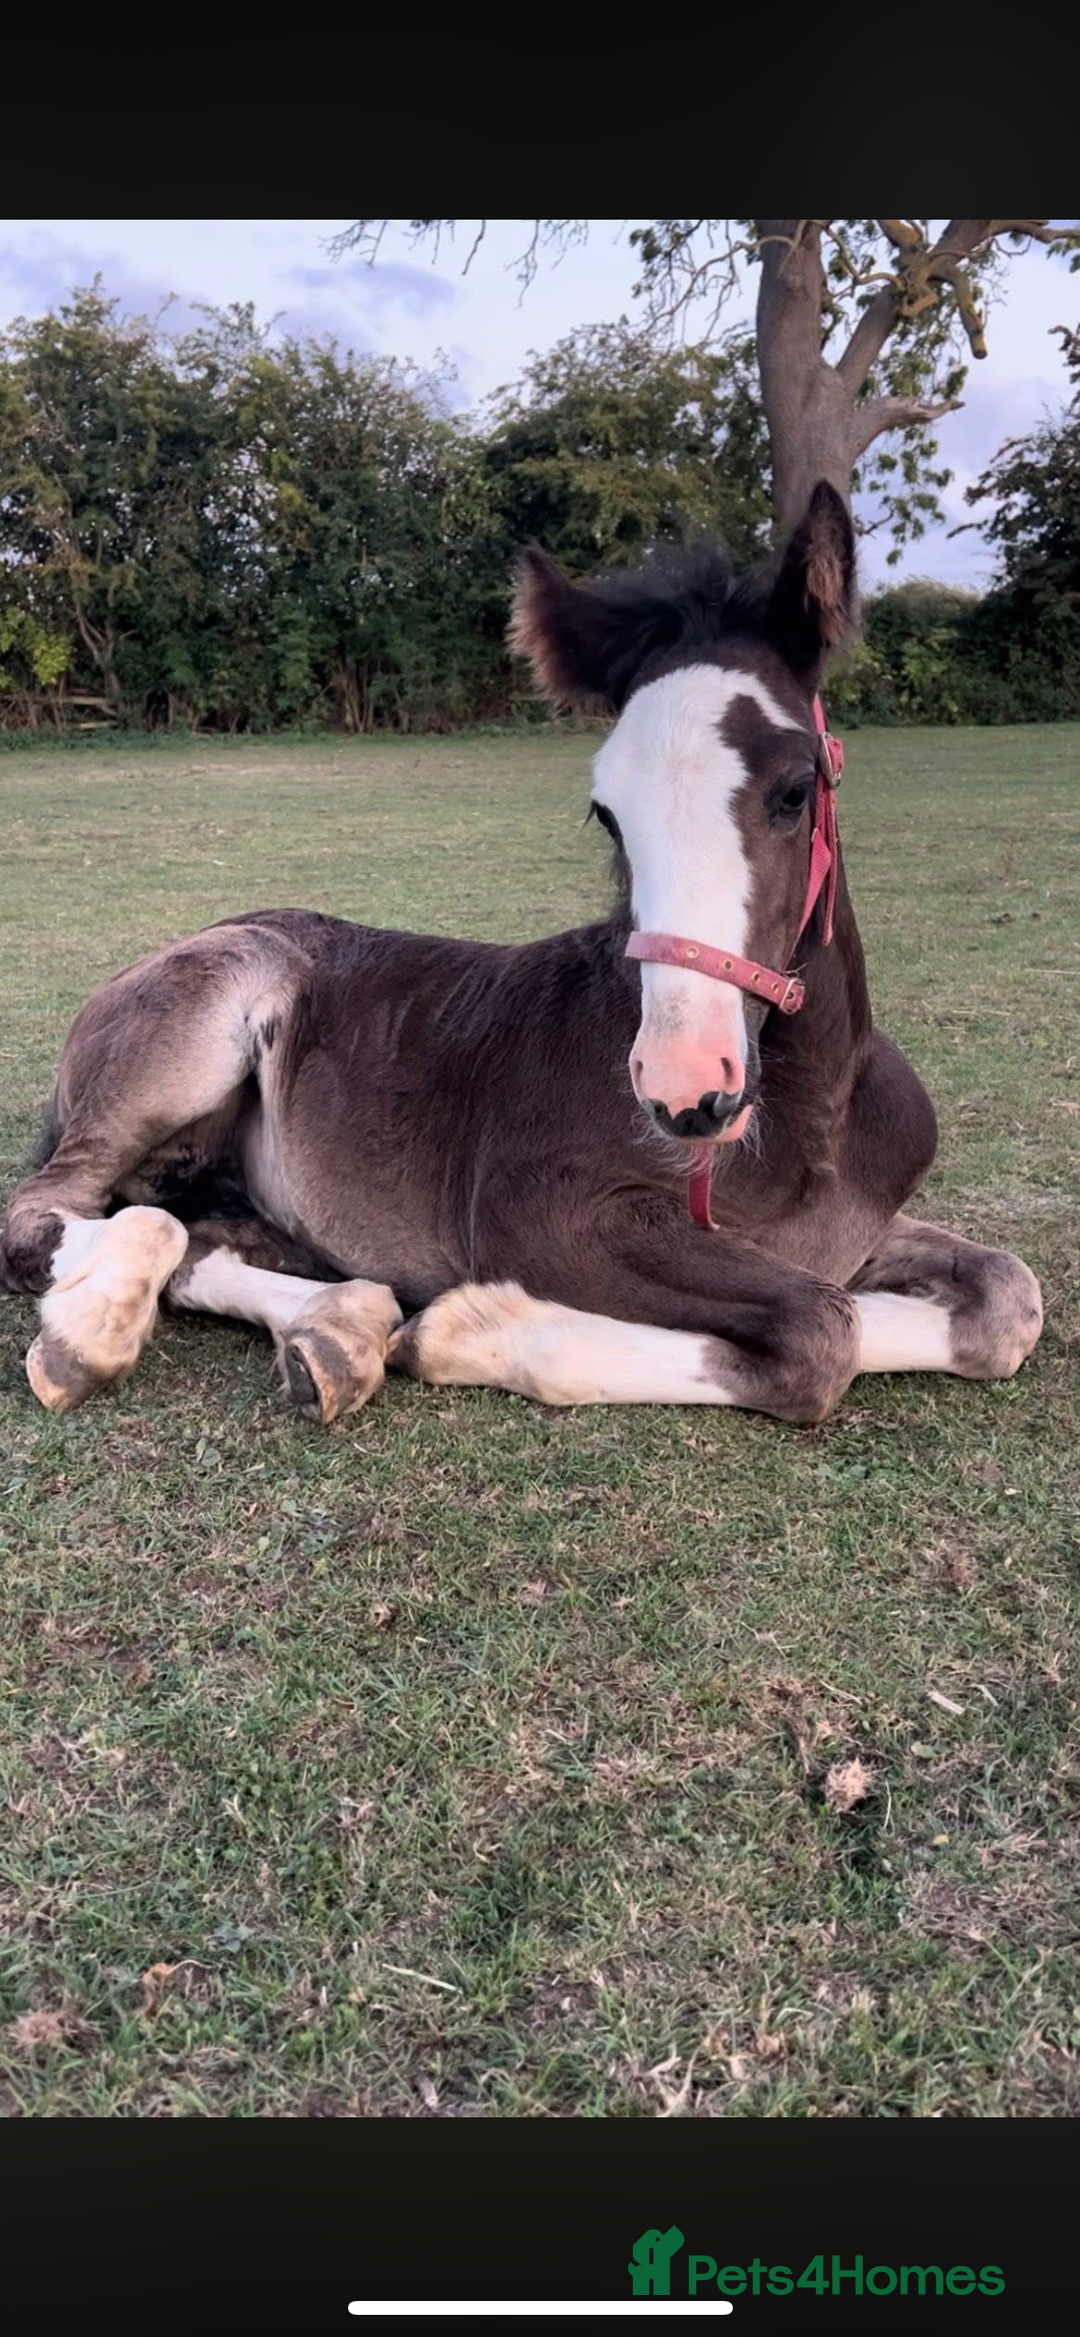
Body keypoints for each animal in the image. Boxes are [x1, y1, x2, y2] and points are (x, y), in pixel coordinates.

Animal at [0, 483, 1043, 1427]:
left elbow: (1005, 1298)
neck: (812, 1119)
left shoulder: (857, 1232)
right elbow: (827, 1329)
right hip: (200, 1019)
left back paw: (335, 1330)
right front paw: (474, 1330)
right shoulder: (537, 1212)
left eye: (795, 789)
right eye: (606, 812)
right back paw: (95, 1331)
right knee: (66, 1212)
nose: (685, 1088)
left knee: (203, 1240)